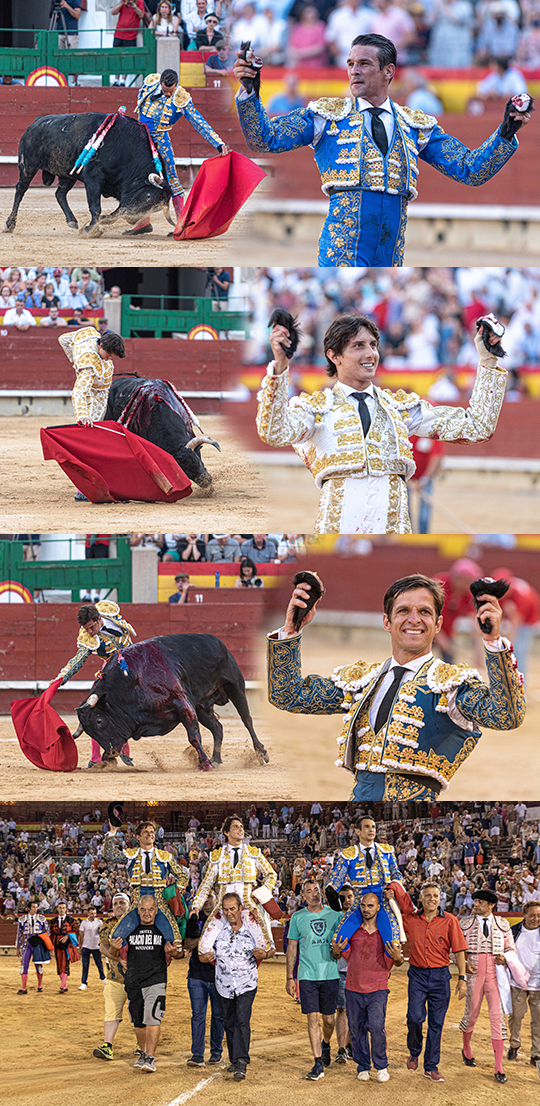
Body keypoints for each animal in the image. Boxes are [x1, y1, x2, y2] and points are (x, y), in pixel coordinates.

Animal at [3, 112, 171, 235]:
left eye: (155, 207)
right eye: (148, 196)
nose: (132, 219)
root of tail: (36, 121)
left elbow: (114, 212)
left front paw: (100, 222)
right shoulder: (93, 179)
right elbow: (95, 206)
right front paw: (91, 229)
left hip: (68, 174)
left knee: (59, 193)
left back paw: (72, 221)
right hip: (27, 166)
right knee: (20, 190)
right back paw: (10, 224)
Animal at [74, 632, 268, 769]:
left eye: (99, 721)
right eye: (90, 732)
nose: (112, 751)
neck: (133, 680)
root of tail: (219, 643)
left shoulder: (181, 703)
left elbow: (194, 736)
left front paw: (204, 764)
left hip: (235, 687)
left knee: (247, 719)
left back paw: (260, 753)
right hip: (202, 706)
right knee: (217, 728)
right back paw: (216, 759)